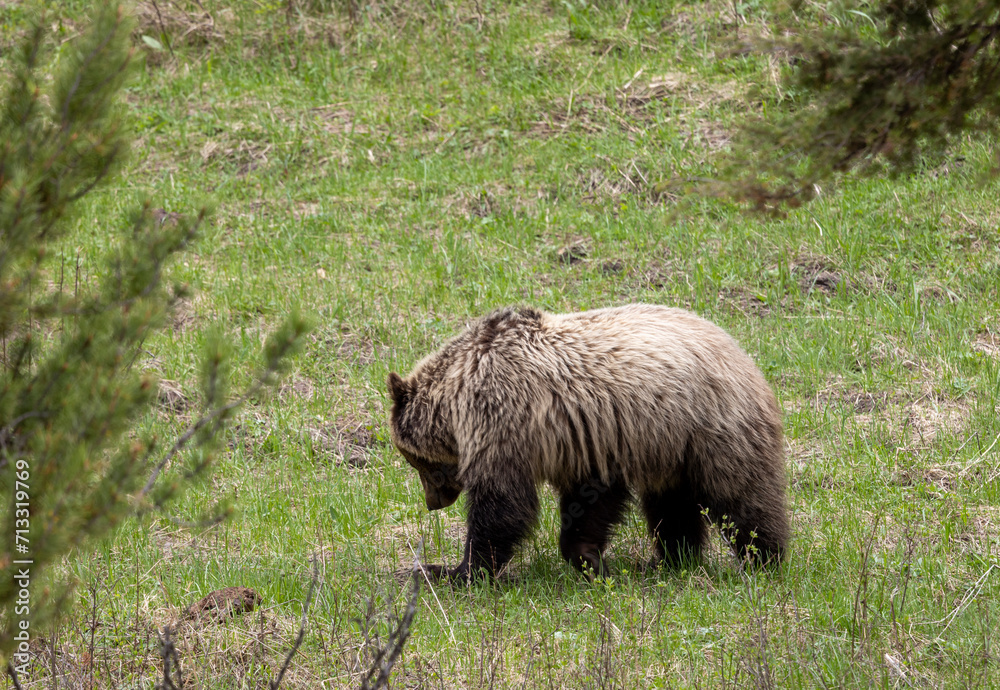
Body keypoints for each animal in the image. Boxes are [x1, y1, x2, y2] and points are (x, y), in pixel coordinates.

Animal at [390, 304, 788, 576]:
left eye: (415, 460)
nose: (432, 502)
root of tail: (743, 355)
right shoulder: (588, 440)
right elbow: (591, 501)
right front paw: (589, 559)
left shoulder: (504, 420)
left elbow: (503, 503)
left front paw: (458, 570)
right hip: (669, 446)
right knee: (672, 505)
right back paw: (673, 559)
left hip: (713, 429)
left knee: (741, 497)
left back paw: (764, 557)